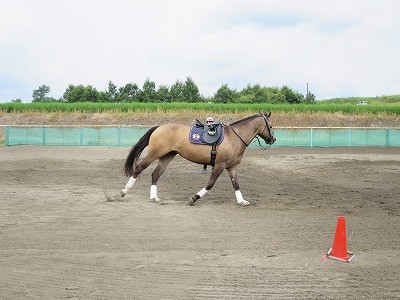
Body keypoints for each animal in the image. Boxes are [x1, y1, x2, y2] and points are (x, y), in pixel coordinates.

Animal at [119, 112, 276, 206]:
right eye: (270, 126)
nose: (273, 139)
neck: (234, 138)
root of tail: (159, 127)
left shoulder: (232, 167)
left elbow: (236, 184)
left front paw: (242, 200)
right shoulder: (219, 165)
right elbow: (210, 184)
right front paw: (194, 198)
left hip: (167, 156)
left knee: (155, 174)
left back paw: (154, 197)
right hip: (154, 154)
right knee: (138, 169)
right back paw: (124, 191)